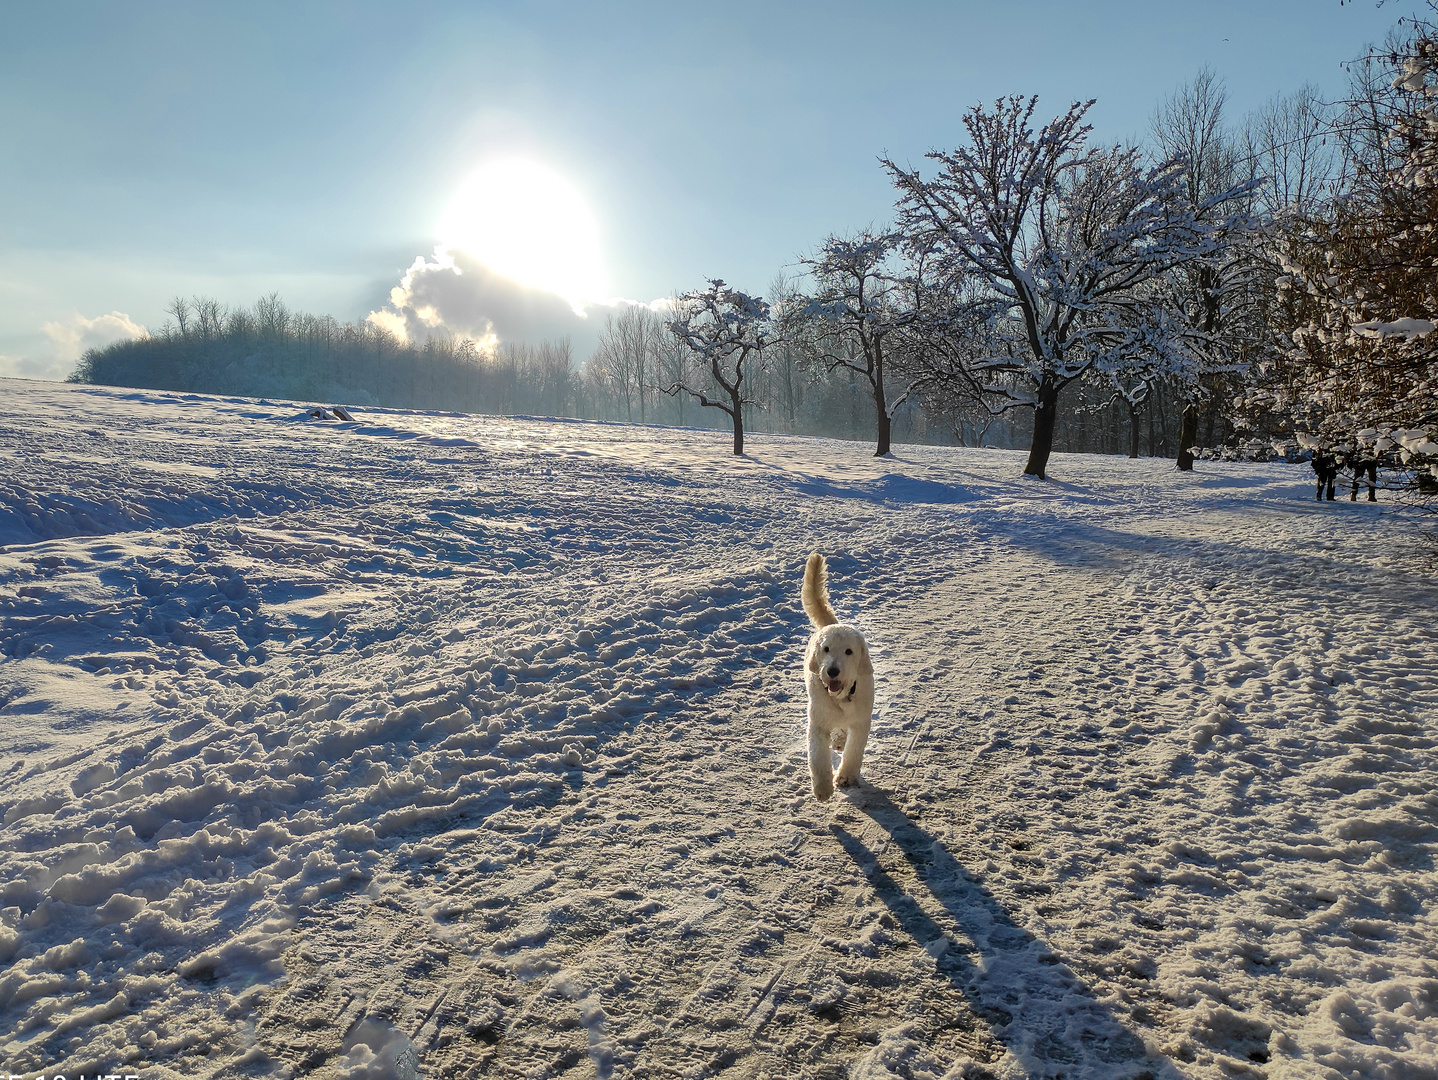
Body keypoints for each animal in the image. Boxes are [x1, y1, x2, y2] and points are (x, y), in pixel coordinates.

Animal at [799, 557, 874, 805]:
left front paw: (846, 777)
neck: (841, 698)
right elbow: (818, 758)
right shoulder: (818, 723)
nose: (832, 671)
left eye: (849, 651)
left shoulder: (861, 721)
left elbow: (854, 751)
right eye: (826, 649)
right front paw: (823, 788)